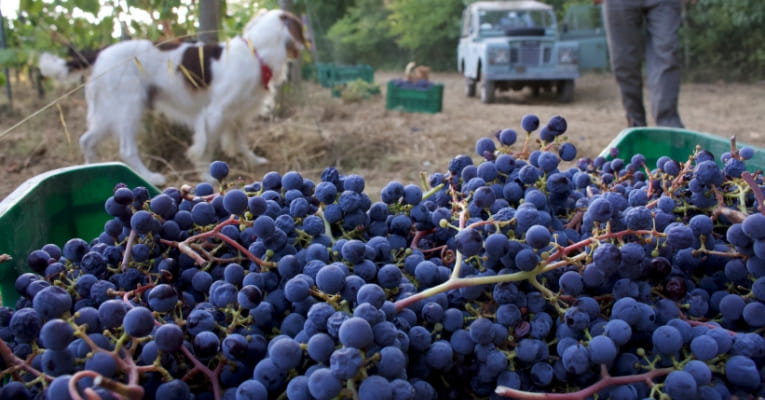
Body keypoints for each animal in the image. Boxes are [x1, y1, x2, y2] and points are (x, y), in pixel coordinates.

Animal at [38, 9, 308, 184]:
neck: (255, 53)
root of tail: (100, 51)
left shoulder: (240, 114)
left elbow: (241, 143)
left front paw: (253, 161)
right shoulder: (214, 113)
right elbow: (205, 148)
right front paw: (206, 175)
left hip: (108, 112)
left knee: (87, 140)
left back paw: (94, 169)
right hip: (129, 109)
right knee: (127, 150)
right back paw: (150, 177)